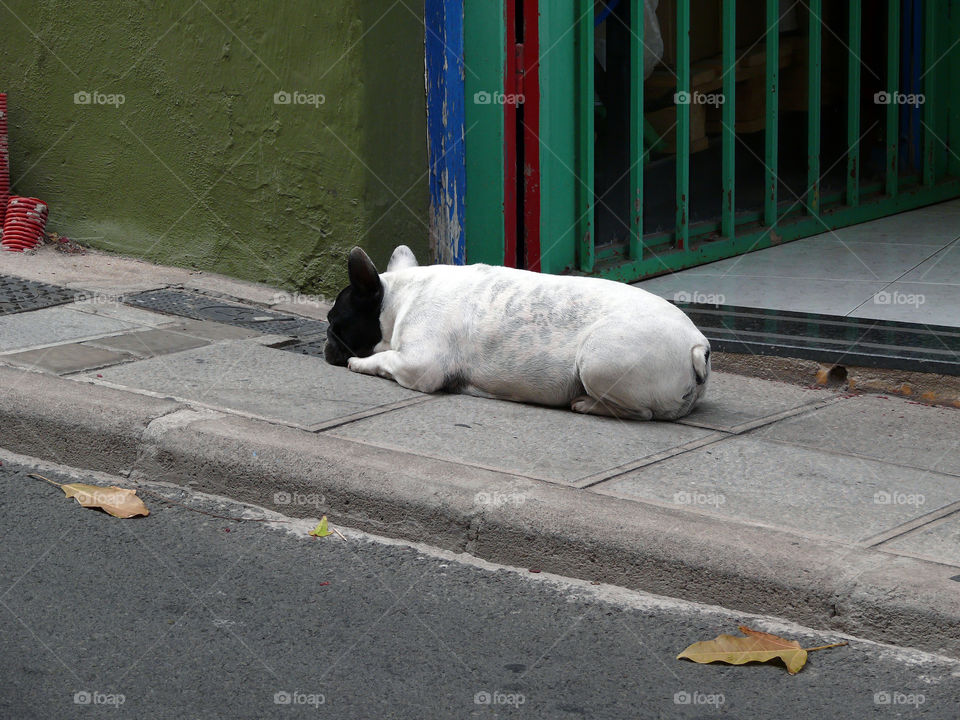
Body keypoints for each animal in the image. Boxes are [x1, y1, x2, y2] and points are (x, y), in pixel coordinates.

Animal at [326, 246, 708, 422]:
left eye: (333, 321)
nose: (326, 343)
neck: (398, 298)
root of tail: (696, 345)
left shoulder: (419, 364)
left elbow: (385, 358)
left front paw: (360, 363)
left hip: (599, 359)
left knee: (640, 412)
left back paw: (585, 403)